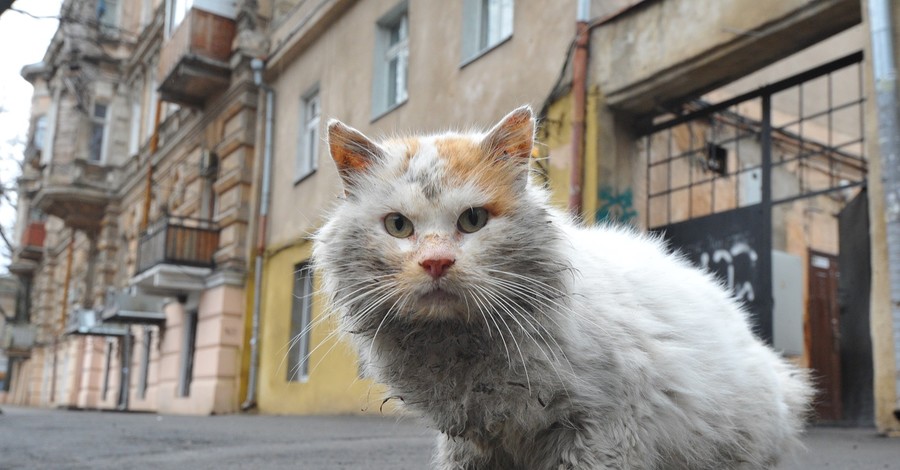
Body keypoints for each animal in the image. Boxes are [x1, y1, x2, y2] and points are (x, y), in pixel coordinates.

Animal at [312, 106, 812, 470]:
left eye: (473, 220)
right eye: (398, 226)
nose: (436, 262)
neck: (459, 347)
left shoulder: (602, 433)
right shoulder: (473, 443)